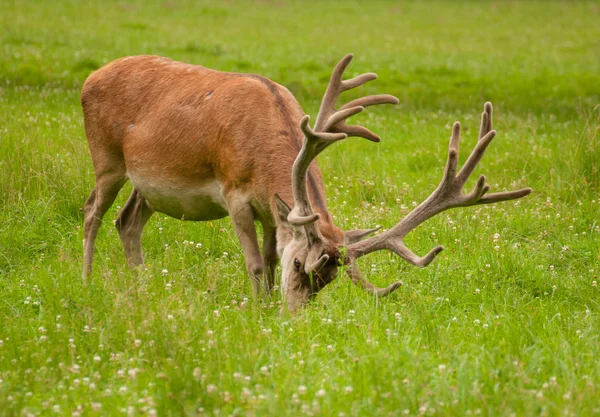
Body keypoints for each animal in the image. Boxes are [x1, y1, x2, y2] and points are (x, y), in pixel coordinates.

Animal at [82, 52, 532, 312]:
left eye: (327, 281)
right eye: (300, 264)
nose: (294, 318)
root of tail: (89, 78)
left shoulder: (270, 211)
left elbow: (268, 257)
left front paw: (266, 306)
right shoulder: (234, 193)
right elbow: (255, 262)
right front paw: (259, 309)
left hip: (147, 185)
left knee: (127, 221)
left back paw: (140, 286)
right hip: (107, 159)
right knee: (92, 212)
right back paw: (86, 282)